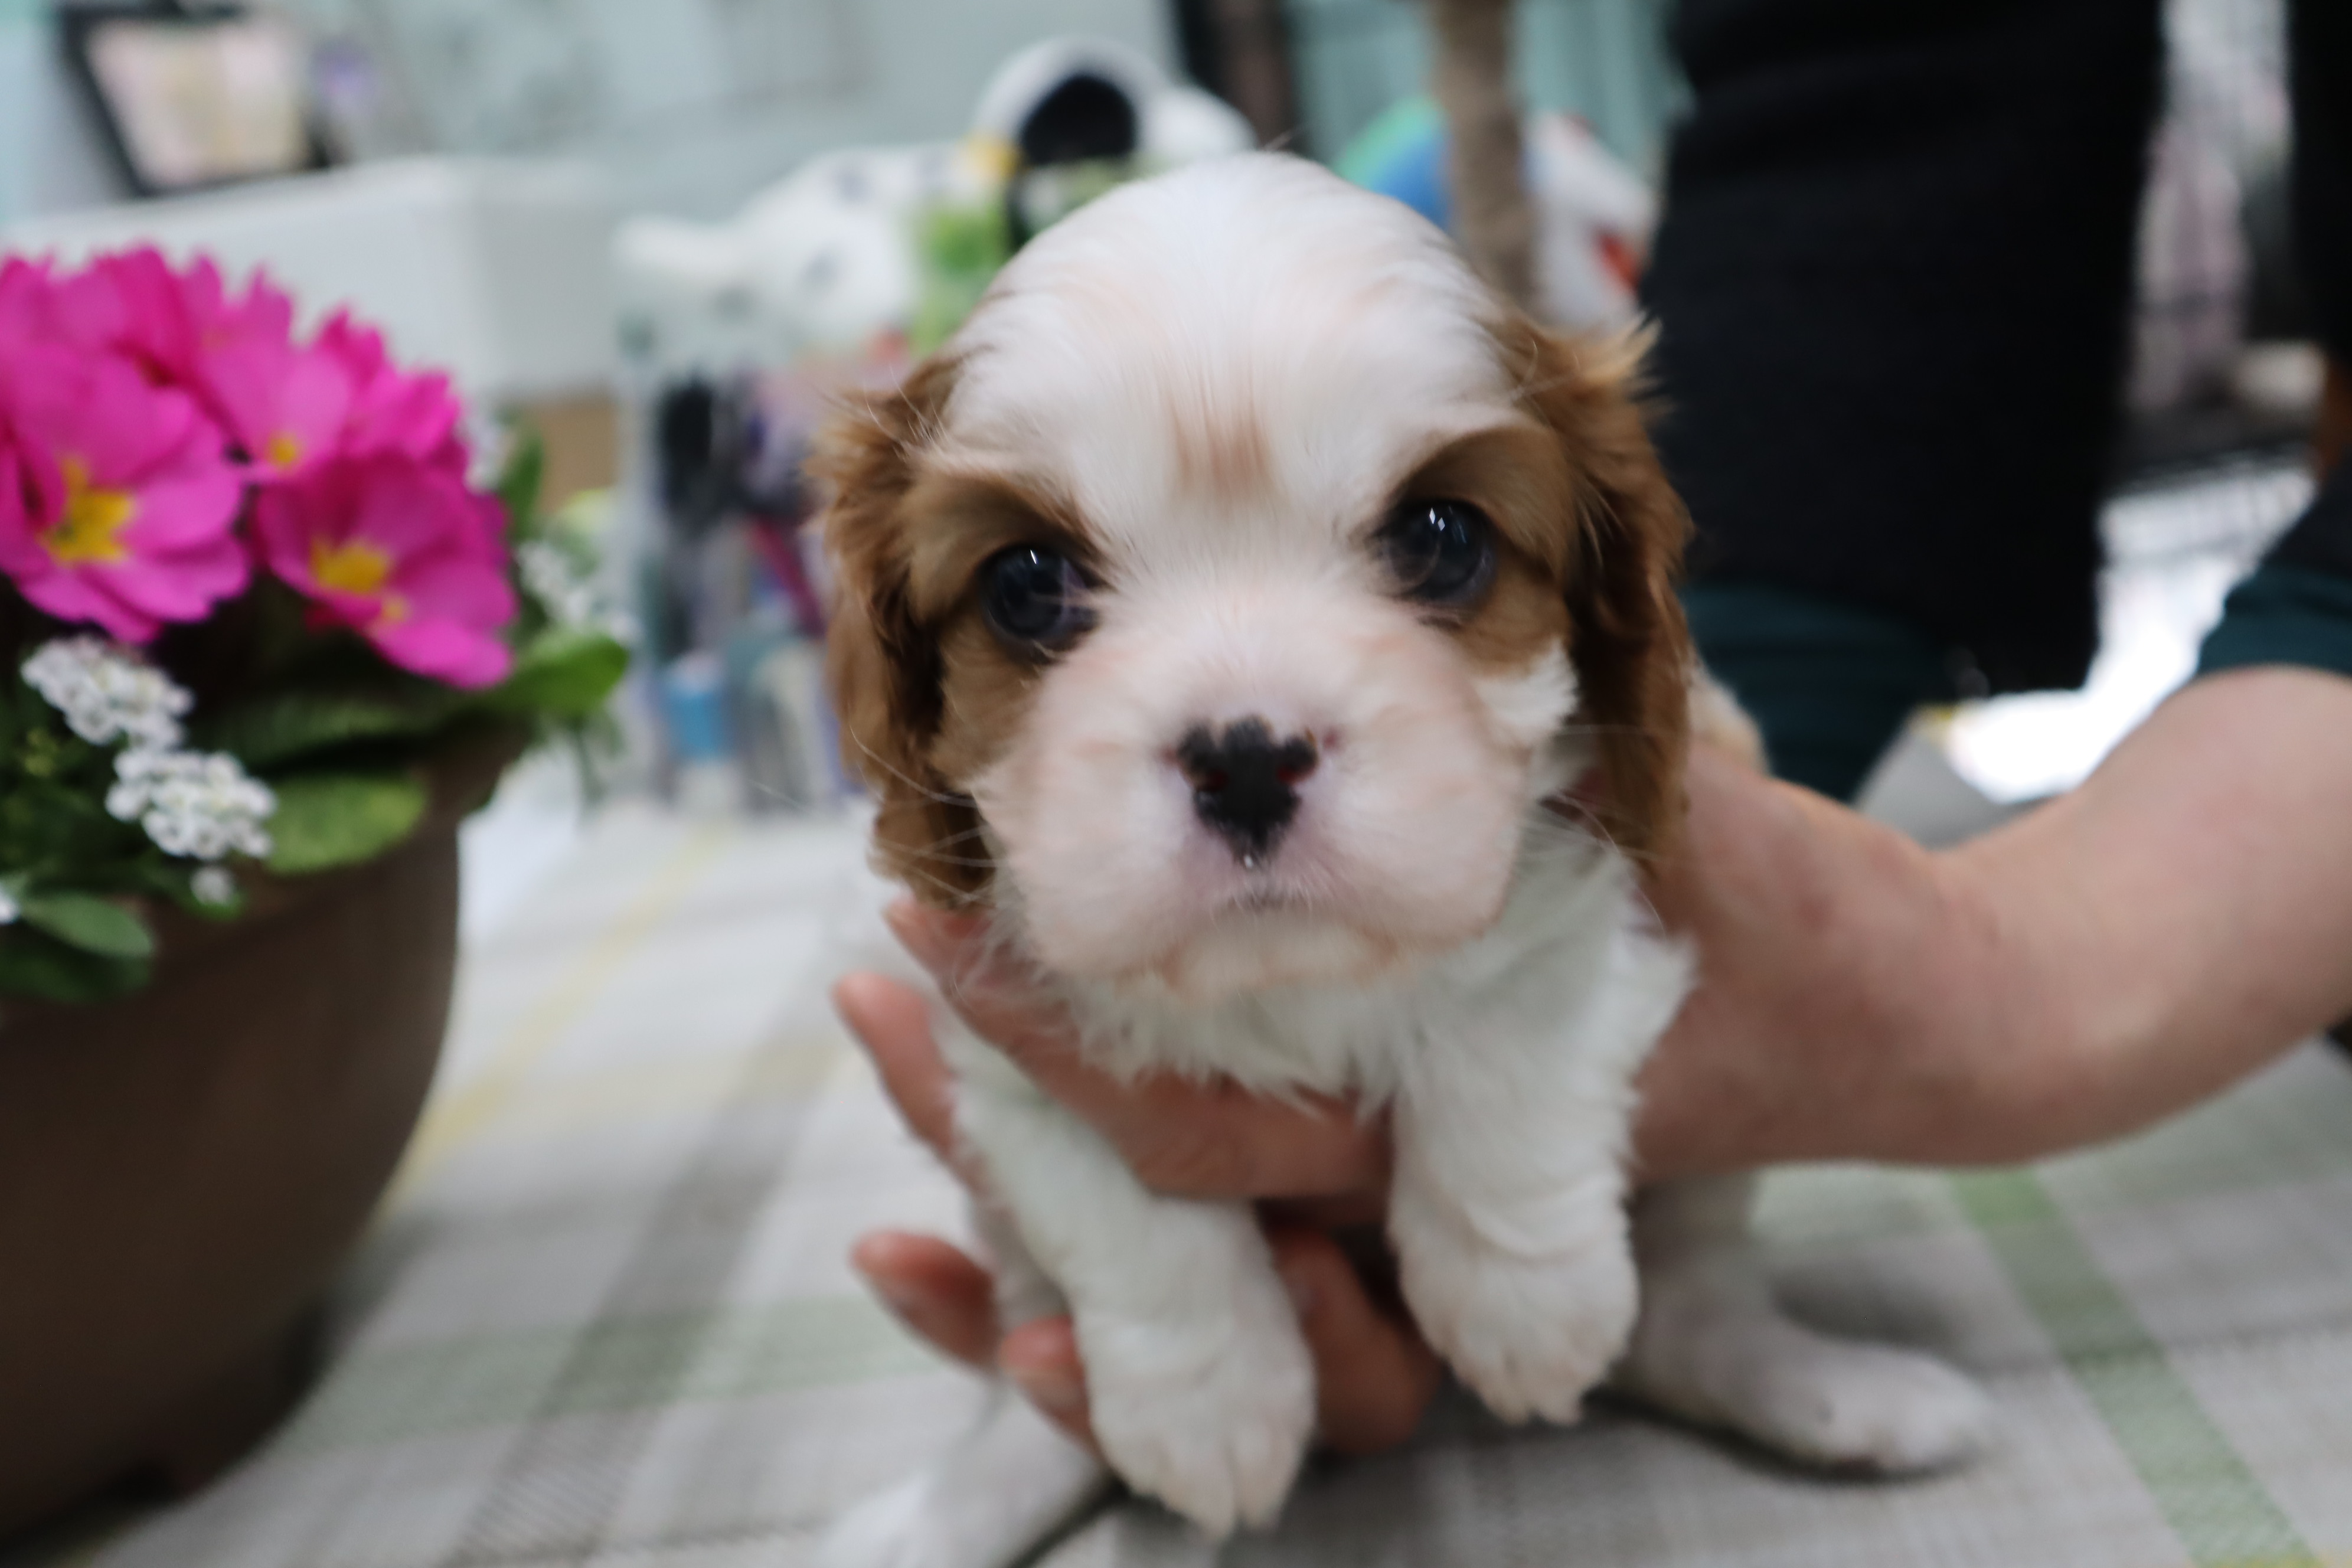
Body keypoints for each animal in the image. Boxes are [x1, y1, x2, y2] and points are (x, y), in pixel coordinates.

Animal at [813, 153, 1991, 1566]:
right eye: (1026, 584)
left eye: (1441, 538)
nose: (1246, 757)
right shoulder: (994, 1027)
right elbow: (1127, 1197)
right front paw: (1212, 1406)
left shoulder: (1631, 842)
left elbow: (1504, 1014)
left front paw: (1524, 1300)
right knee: (1037, 1397)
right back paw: (943, 1514)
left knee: (1684, 1310)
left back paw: (1834, 1397)